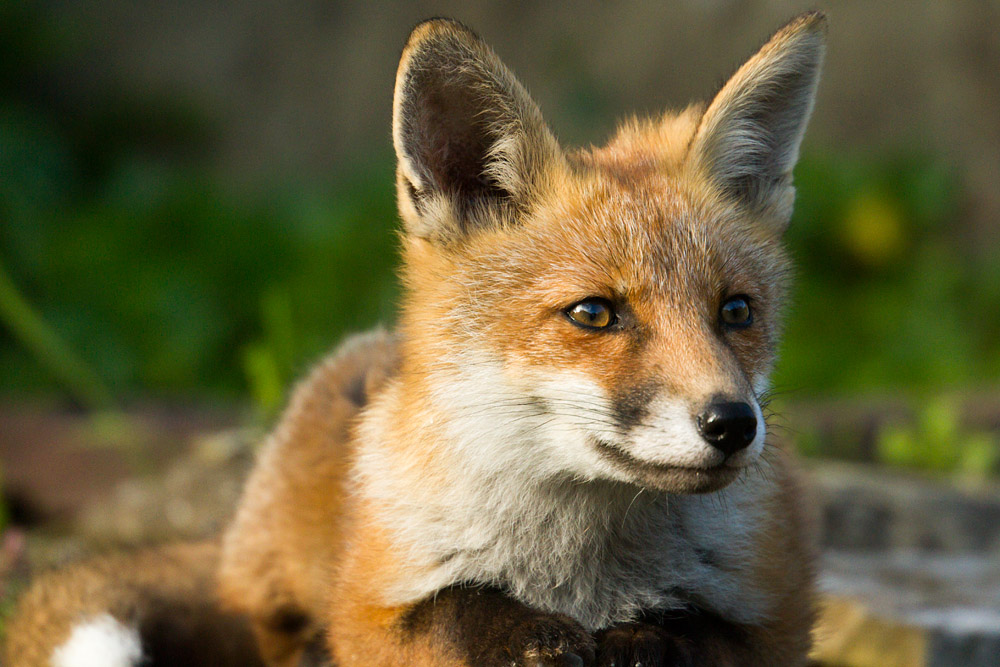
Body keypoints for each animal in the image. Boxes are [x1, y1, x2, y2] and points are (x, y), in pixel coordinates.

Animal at [4, 12, 826, 667]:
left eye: (737, 311)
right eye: (594, 314)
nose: (732, 423)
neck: (582, 575)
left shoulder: (779, 613)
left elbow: (705, 629)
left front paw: (647, 636)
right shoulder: (373, 607)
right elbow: (449, 609)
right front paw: (530, 634)